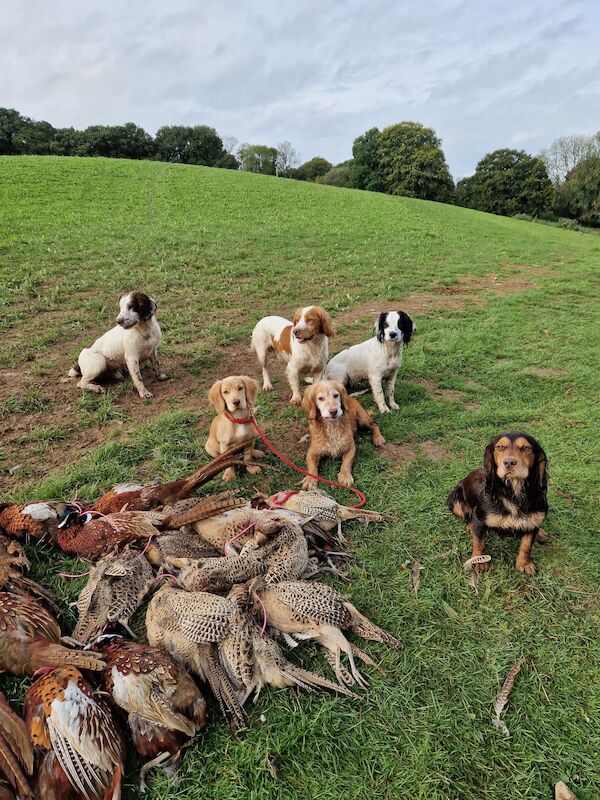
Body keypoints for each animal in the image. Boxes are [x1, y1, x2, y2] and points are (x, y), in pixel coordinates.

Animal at [446, 432, 548, 576]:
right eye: (500, 447)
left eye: (526, 448)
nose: (509, 462)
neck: (513, 493)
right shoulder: (480, 518)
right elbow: (479, 542)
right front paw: (479, 562)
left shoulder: (534, 517)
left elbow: (527, 545)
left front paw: (524, 564)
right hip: (456, 501)